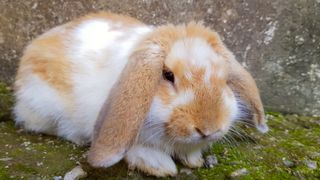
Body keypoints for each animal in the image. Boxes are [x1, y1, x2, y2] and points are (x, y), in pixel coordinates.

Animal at [13, 11, 268, 176]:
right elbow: (140, 150)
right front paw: (161, 167)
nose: (209, 129)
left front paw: (194, 160)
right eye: (167, 75)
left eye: (225, 79)